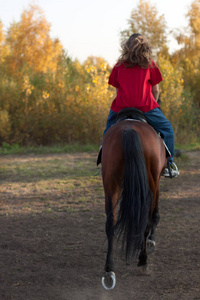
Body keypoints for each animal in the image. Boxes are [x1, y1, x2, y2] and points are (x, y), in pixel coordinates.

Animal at [100, 109, 167, 288]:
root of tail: (129, 129)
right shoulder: (157, 181)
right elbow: (155, 216)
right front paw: (151, 242)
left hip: (110, 181)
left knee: (111, 221)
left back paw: (109, 270)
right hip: (151, 182)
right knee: (146, 219)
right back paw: (143, 261)